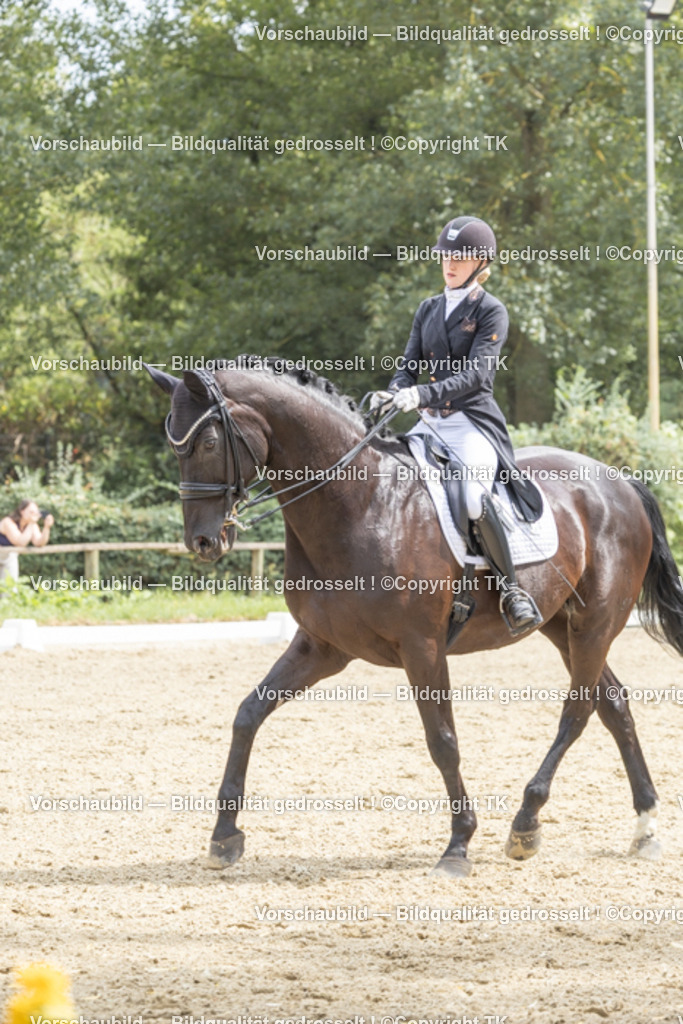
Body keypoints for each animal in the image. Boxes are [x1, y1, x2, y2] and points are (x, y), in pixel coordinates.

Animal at [146, 359, 683, 877]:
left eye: (209, 442)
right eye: (174, 445)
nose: (203, 542)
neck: (360, 505)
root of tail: (619, 480)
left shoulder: (421, 646)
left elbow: (442, 740)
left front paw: (459, 845)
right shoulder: (323, 647)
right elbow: (248, 714)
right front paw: (224, 836)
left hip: (595, 622)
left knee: (578, 712)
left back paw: (526, 824)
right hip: (560, 625)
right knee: (613, 704)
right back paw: (645, 826)